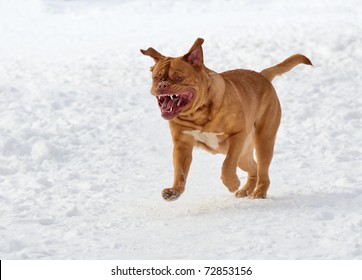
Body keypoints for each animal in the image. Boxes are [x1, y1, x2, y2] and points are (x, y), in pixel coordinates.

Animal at [141, 38, 312, 200]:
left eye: (178, 78)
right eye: (156, 78)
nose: (162, 85)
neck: (198, 114)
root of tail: (262, 75)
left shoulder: (237, 135)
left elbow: (228, 164)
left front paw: (232, 183)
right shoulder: (182, 144)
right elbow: (180, 171)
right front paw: (174, 191)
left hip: (263, 140)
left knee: (262, 170)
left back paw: (259, 192)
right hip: (244, 155)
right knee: (254, 168)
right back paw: (246, 190)